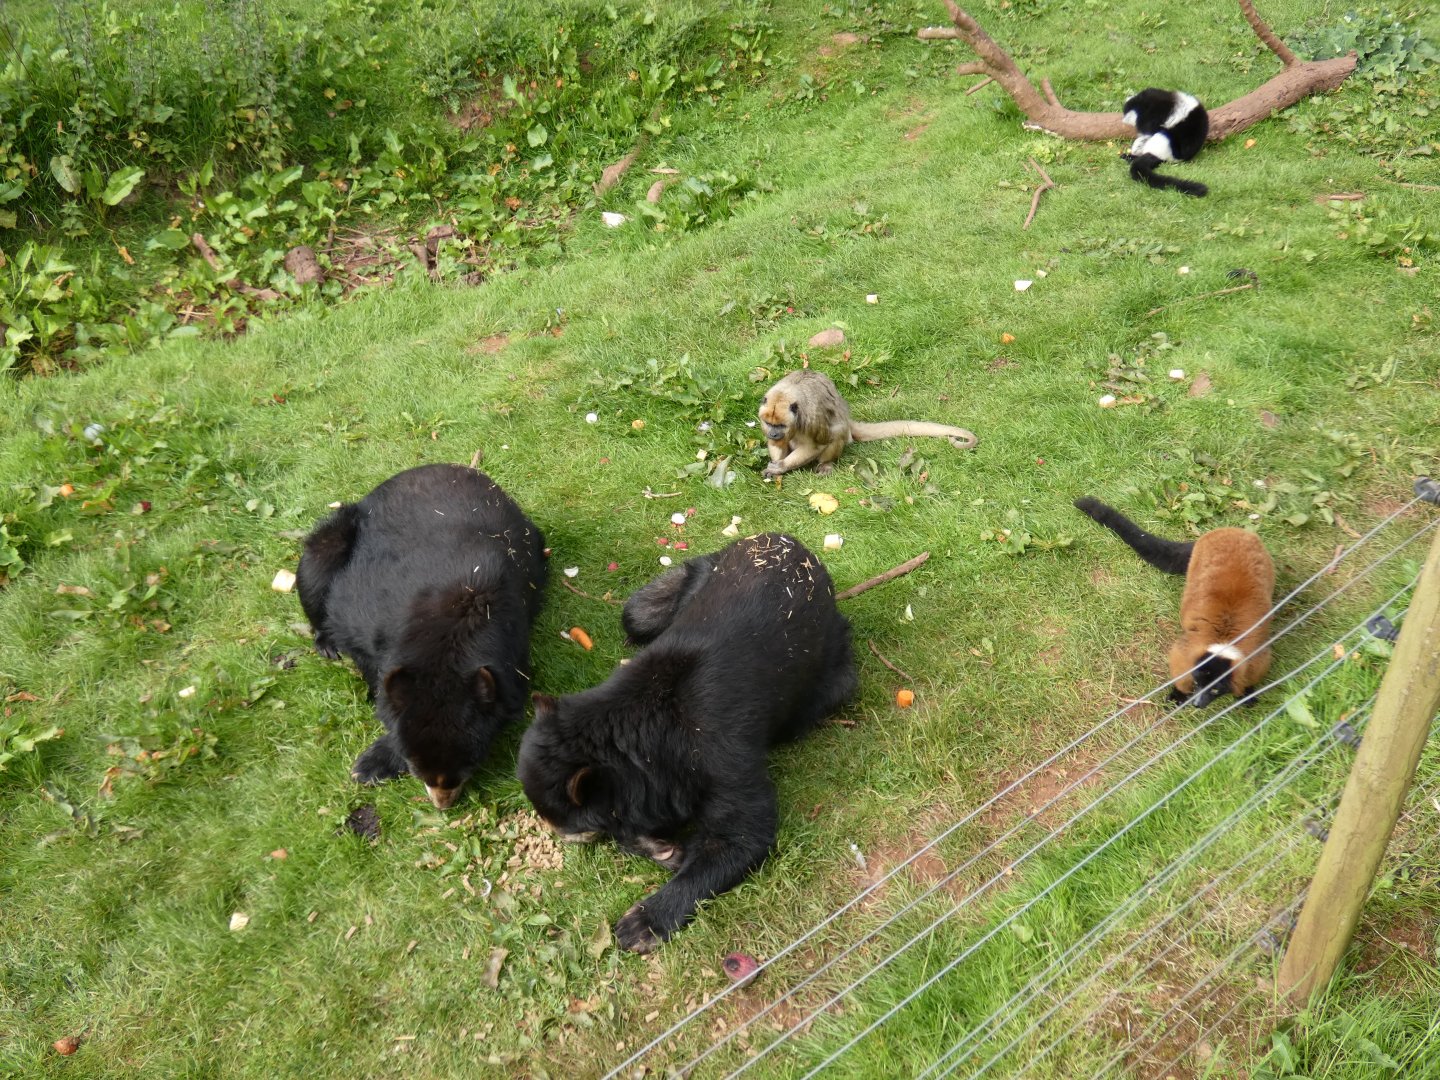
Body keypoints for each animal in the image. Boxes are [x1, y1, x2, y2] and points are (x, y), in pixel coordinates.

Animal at [296, 464, 546, 808]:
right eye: (416, 767)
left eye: (469, 764)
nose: (443, 804)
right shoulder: (364, 612)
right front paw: (369, 765)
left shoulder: (513, 651)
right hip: (336, 536)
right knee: (316, 564)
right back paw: (326, 645)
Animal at [517, 533, 858, 952]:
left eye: (574, 832)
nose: (559, 836)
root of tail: (794, 544)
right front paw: (660, 847)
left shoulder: (719, 750)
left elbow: (742, 832)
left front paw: (643, 921)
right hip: (691, 577)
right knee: (637, 612)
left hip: (830, 679)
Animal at [757, 369, 978, 480]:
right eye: (768, 423)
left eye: (781, 425)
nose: (773, 434)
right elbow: (777, 445)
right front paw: (774, 466)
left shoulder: (811, 418)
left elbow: (817, 444)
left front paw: (781, 467)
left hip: (840, 430)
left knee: (836, 432)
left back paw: (826, 464)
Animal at [1074, 497, 1275, 707]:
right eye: (1198, 682)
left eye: (1215, 689)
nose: (1197, 703)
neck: (1224, 638)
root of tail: (1229, 531)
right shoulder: (1192, 646)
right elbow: (1180, 661)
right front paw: (1179, 692)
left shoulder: (1254, 651)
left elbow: (1253, 670)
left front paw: (1246, 692)